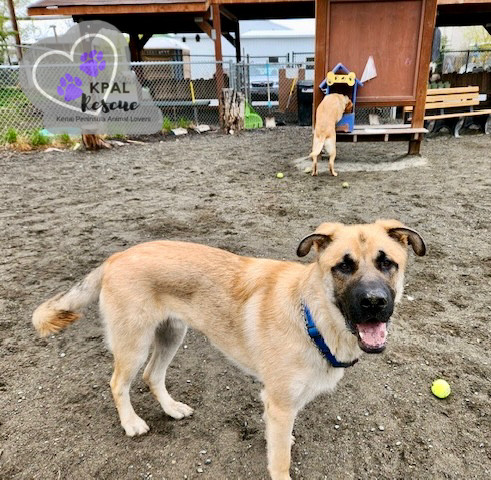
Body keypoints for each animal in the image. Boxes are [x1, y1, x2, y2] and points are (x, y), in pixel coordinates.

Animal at [33, 219, 426, 478]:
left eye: (387, 263)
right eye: (343, 266)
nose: (374, 303)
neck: (313, 316)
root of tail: (116, 257)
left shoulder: (287, 405)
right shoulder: (279, 403)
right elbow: (279, 461)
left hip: (171, 335)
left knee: (152, 376)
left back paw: (172, 409)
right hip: (134, 343)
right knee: (119, 383)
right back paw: (131, 423)